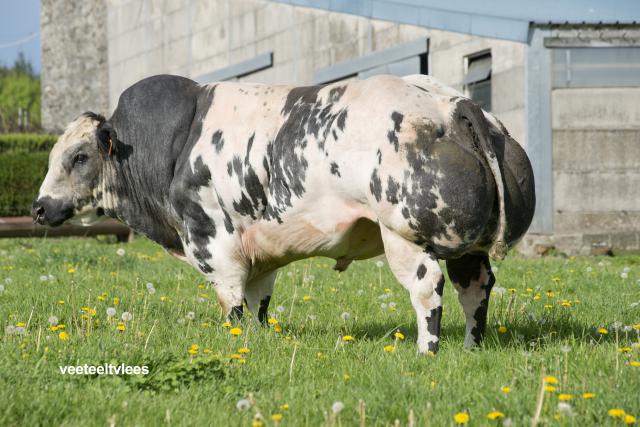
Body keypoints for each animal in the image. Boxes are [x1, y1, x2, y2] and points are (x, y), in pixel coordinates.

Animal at [33, 74, 536, 354]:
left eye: (78, 156)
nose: (39, 207)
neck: (172, 147)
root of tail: (450, 103)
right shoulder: (261, 253)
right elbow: (259, 304)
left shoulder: (213, 245)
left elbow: (233, 305)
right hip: (467, 248)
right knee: (475, 289)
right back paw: (470, 348)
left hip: (406, 237)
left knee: (427, 290)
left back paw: (426, 351)